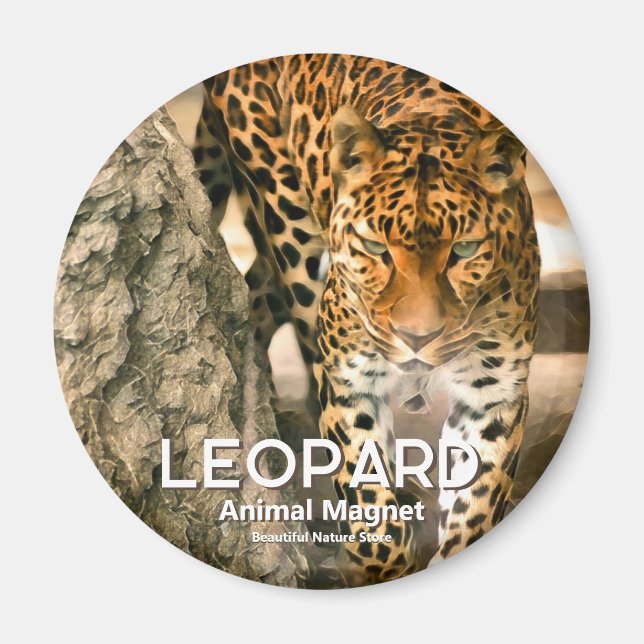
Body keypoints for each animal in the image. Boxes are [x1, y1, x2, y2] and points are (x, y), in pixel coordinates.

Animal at [192, 54, 540, 587]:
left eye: (463, 250)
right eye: (375, 248)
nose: (417, 337)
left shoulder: (495, 392)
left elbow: (478, 499)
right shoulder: (350, 379)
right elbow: (365, 484)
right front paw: (378, 560)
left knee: (253, 291)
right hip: (289, 231)